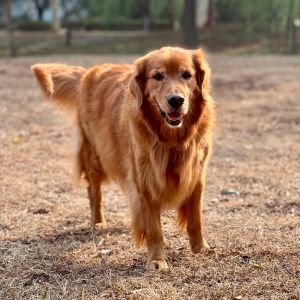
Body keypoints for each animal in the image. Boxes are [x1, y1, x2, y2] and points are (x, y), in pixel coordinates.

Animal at [32, 46, 216, 270]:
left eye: (186, 75)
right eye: (157, 76)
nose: (176, 100)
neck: (172, 140)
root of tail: (88, 72)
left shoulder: (197, 175)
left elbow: (196, 219)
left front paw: (200, 248)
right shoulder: (144, 179)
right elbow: (154, 228)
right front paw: (156, 259)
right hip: (94, 155)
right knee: (94, 193)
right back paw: (98, 222)